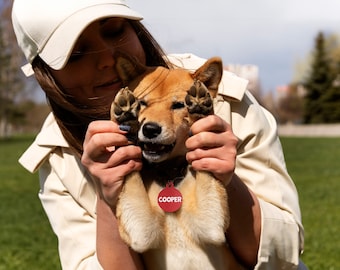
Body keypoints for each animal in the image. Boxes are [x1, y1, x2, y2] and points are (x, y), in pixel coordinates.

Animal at [110, 53, 240, 270]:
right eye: (142, 103)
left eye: (179, 105)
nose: (150, 129)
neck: (169, 176)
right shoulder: (141, 232)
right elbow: (130, 172)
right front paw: (125, 115)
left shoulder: (211, 225)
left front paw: (200, 110)